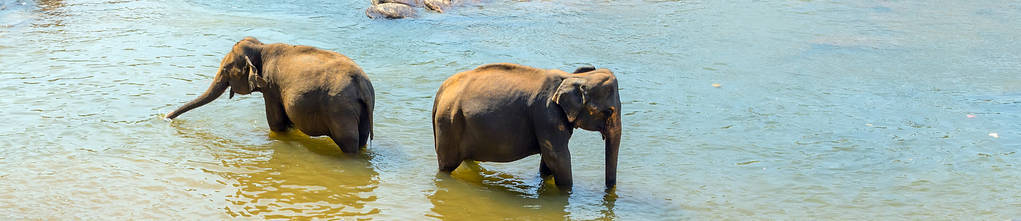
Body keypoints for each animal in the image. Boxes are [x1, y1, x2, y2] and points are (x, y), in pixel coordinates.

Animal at [167, 36, 375, 153]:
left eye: (226, 69)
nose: (166, 116)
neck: (261, 47)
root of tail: (363, 84)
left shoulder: (271, 87)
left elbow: (276, 122)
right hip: (362, 110)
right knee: (362, 138)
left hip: (340, 110)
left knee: (349, 142)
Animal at [430, 62, 620, 190]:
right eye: (609, 111)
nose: (609, 192)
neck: (570, 76)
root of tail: (441, 90)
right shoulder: (547, 115)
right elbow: (558, 157)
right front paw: (566, 193)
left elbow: (548, 160)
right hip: (449, 123)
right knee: (446, 166)